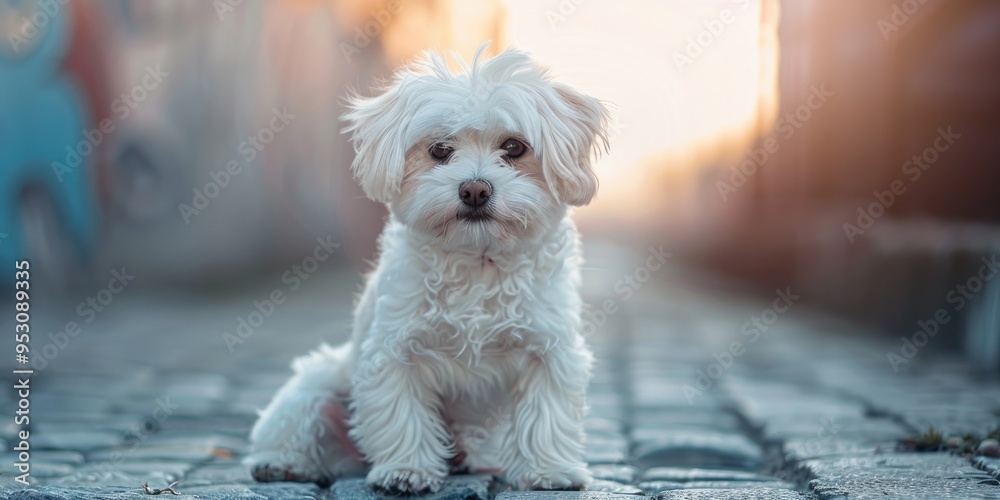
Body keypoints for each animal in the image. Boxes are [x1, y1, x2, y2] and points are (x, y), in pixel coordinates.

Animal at [246, 48, 612, 494]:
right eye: (439, 149)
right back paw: (282, 464)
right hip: (316, 388)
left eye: (514, 146)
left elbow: (546, 416)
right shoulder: (395, 352)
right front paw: (407, 470)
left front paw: (548, 470)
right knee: (294, 424)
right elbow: (402, 415)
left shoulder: (548, 349)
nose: (474, 189)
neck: (477, 260)